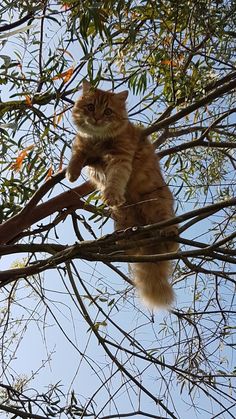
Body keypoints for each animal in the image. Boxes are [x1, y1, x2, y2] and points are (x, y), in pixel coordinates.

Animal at [65, 80, 178, 306]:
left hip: (158, 205)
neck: (98, 140)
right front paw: (71, 174)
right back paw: (124, 241)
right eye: (90, 107)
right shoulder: (82, 144)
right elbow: (76, 154)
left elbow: (115, 180)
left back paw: (169, 233)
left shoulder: (121, 157)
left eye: (108, 111)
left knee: (171, 242)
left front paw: (111, 195)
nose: (97, 118)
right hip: (123, 216)